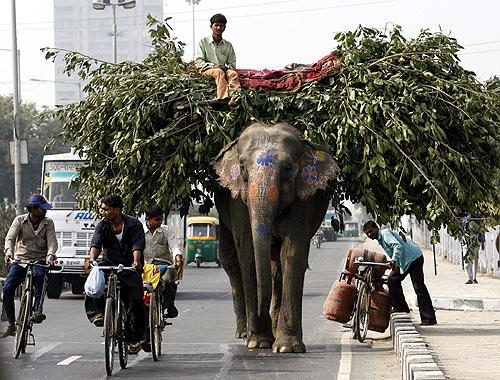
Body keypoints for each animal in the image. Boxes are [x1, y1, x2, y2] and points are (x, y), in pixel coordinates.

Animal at [213, 122, 338, 354]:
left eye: (288, 168)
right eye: (241, 167)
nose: (260, 313)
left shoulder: (302, 198)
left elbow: (292, 253)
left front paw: (286, 348)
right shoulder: (237, 201)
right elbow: (248, 252)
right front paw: (258, 343)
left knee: (276, 269)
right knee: (230, 260)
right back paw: (244, 334)